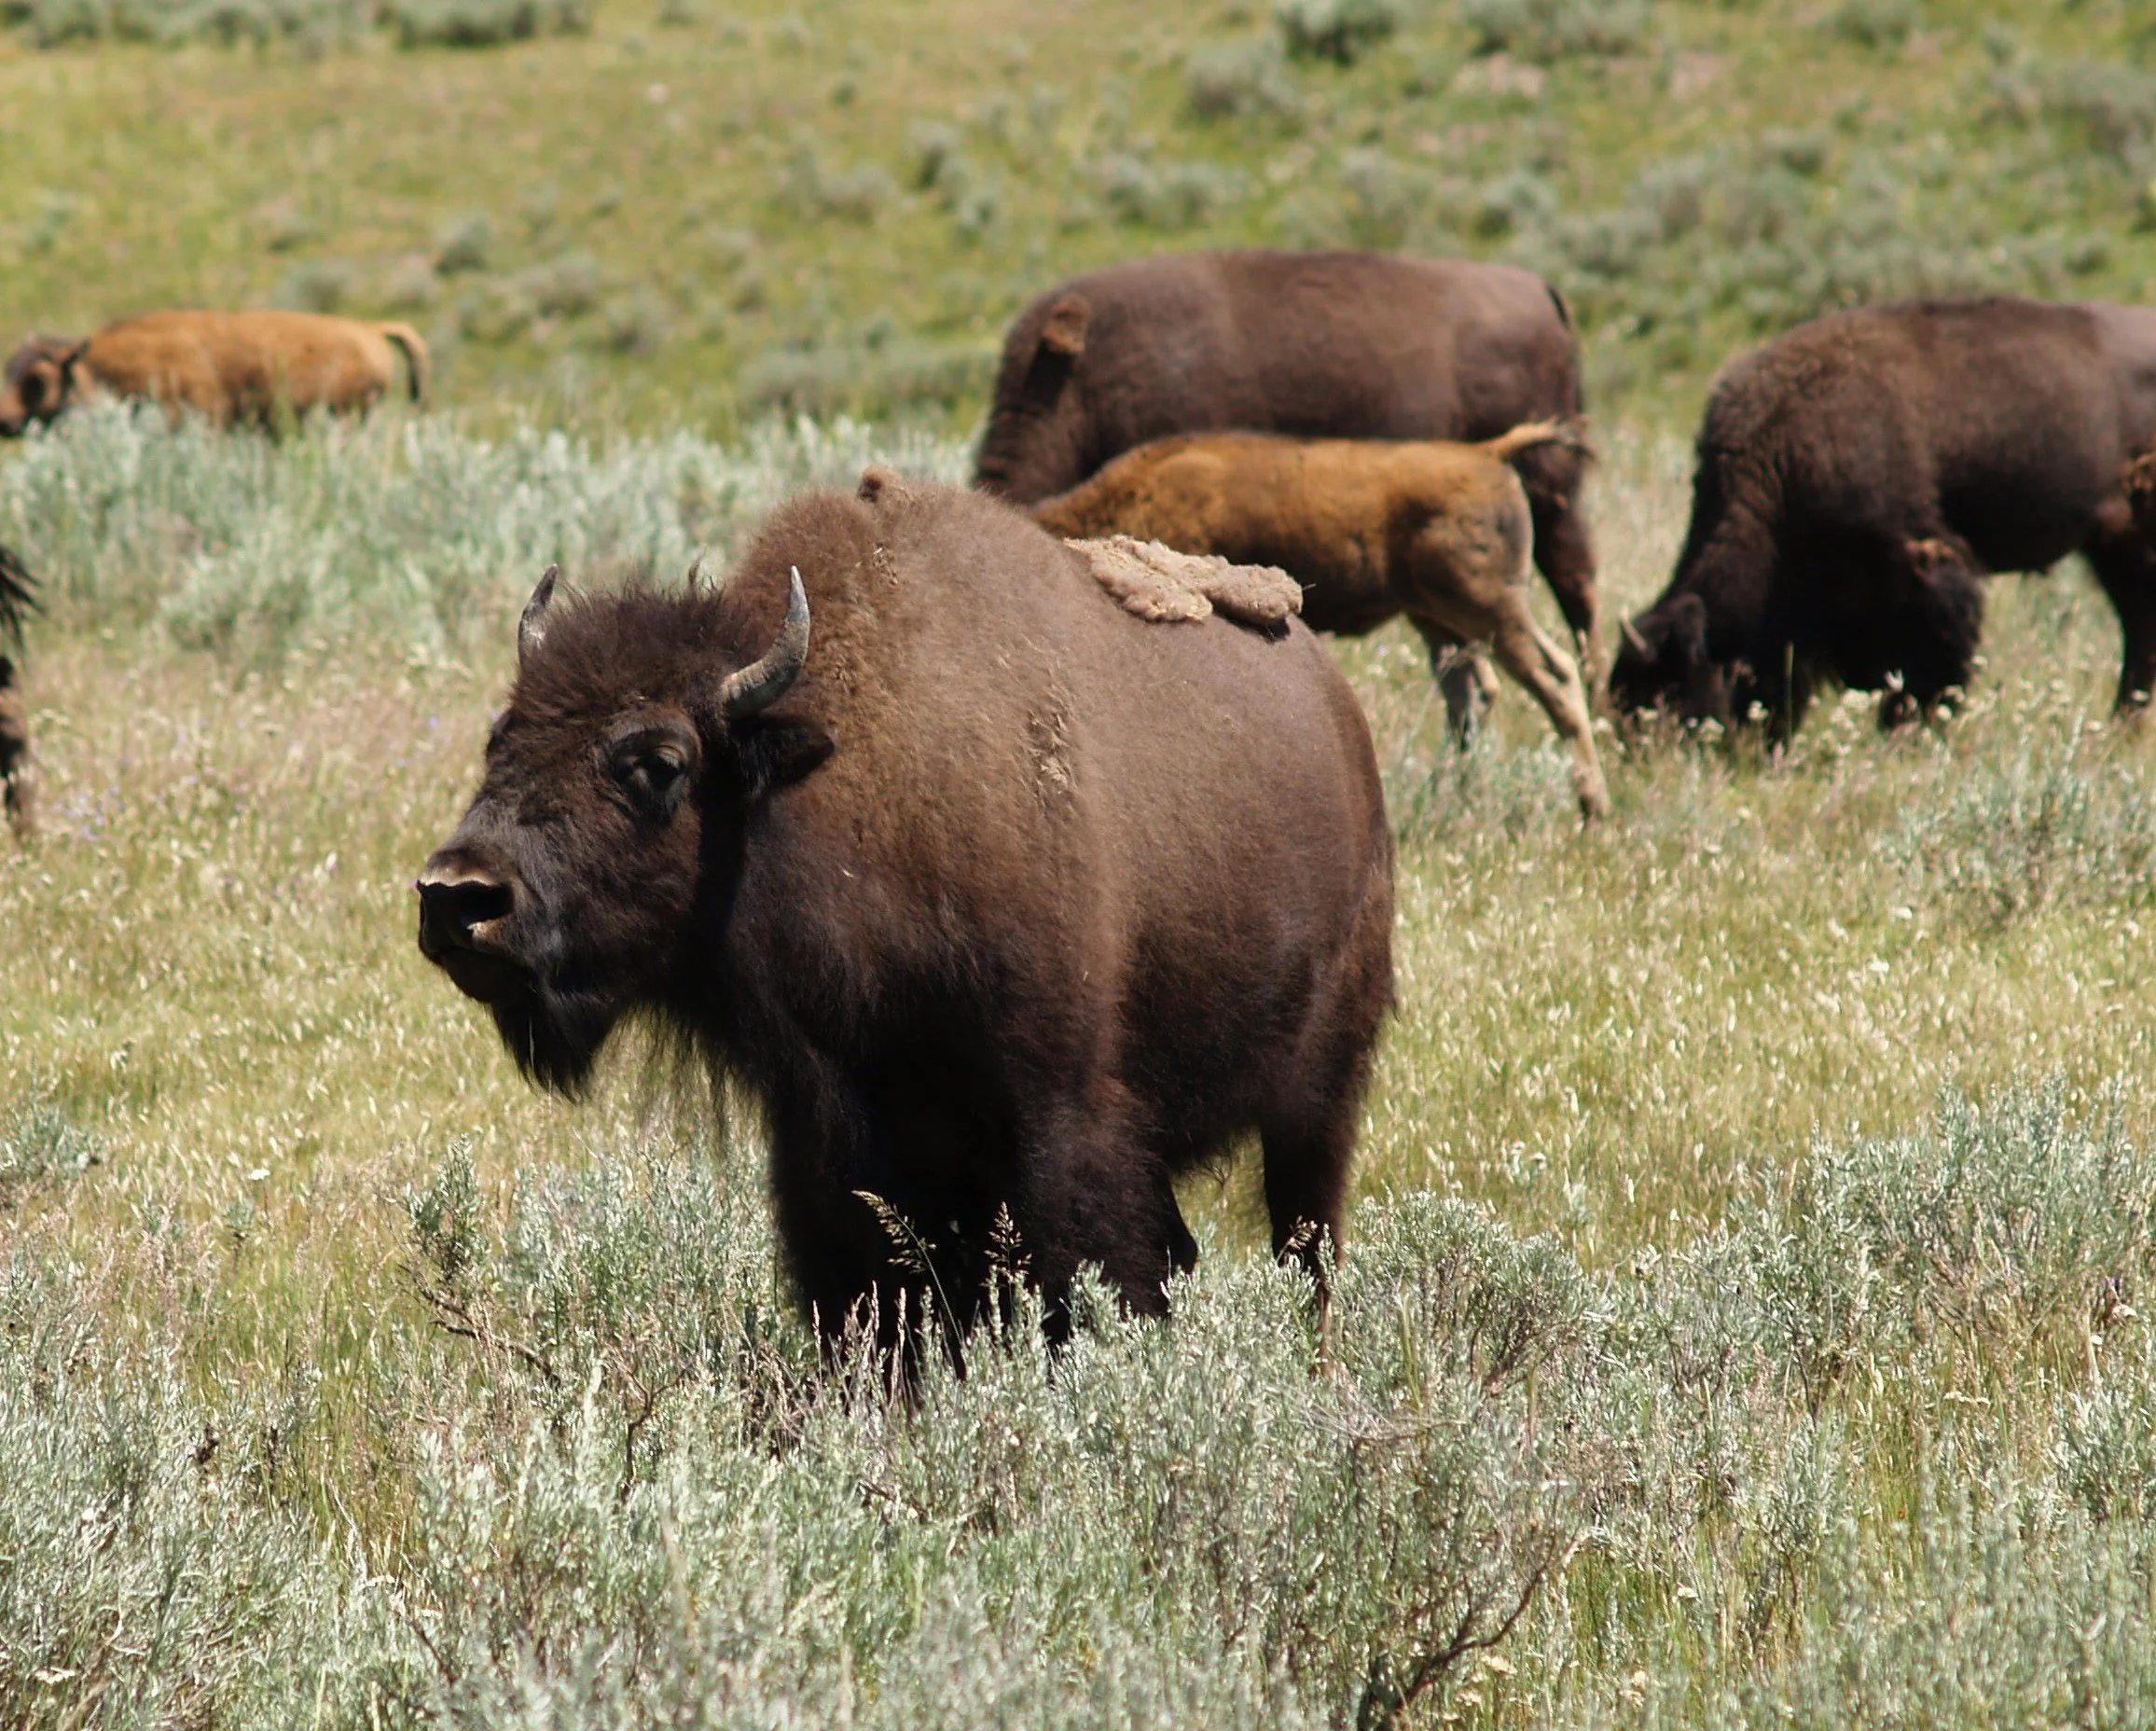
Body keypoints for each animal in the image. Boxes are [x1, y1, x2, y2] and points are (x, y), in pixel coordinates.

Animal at [417, 475, 1394, 1350]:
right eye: (500, 736)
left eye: (658, 762)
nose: (458, 896)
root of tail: (1340, 713)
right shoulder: (832, 1149)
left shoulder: (1063, 1123)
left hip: (1317, 1100)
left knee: (1307, 1249)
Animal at [1032, 420, 1611, 821]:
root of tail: (1488, 452)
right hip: (1436, 618)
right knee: (1472, 694)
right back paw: (1453, 798)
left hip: (1488, 609)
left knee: (1555, 676)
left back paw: (1592, 809)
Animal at [1612, 296, 2156, 737]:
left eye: (1670, 690)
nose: (1646, 760)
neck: (1779, 462)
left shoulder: (1921, 565)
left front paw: (1912, 729)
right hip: (2114, 544)